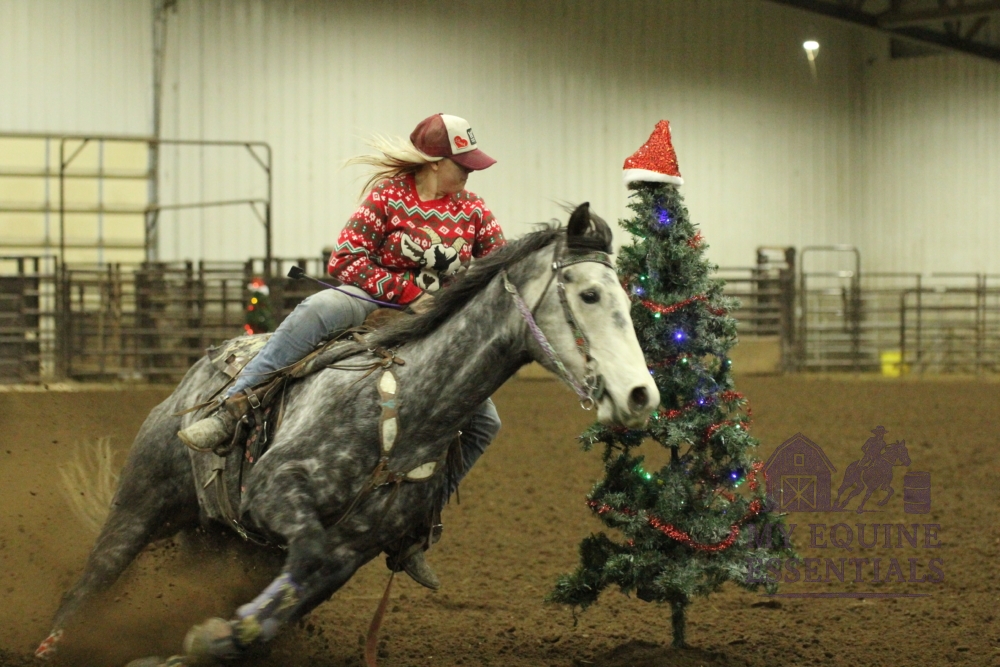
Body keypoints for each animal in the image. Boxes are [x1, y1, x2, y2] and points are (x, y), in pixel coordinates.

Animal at [36, 203, 660, 665]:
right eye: (589, 294)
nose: (640, 395)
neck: (404, 411)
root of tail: (197, 375)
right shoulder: (274, 491)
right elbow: (308, 553)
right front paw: (209, 639)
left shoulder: (353, 550)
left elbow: (302, 583)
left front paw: (215, 639)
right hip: (141, 504)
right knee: (87, 585)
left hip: (224, 543)